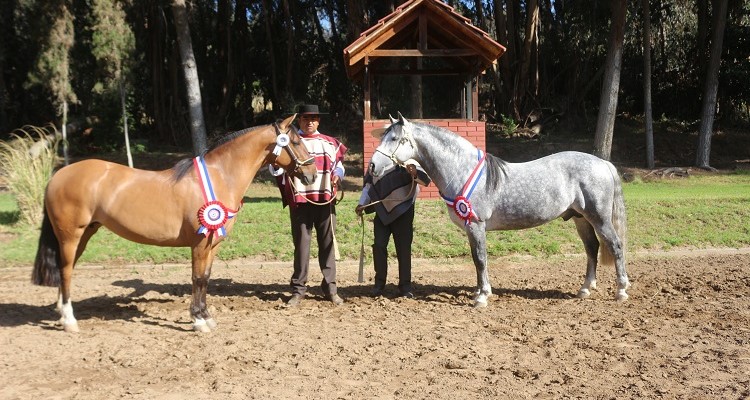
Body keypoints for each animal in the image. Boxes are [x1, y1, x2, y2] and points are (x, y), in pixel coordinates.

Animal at [31, 114, 314, 332]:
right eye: (296, 141)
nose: (311, 174)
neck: (220, 176)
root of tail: (58, 175)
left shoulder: (213, 245)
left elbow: (206, 277)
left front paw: (207, 317)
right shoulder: (200, 243)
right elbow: (197, 278)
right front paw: (198, 321)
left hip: (83, 234)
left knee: (65, 269)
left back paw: (62, 315)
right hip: (71, 235)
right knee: (66, 272)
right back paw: (70, 321)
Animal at [372, 114, 636, 308]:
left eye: (394, 138)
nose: (373, 166)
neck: (462, 169)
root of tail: (603, 163)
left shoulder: (476, 225)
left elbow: (480, 259)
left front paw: (481, 297)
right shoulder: (471, 229)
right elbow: (476, 259)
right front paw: (479, 291)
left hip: (599, 218)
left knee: (615, 245)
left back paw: (621, 290)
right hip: (580, 219)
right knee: (592, 249)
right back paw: (584, 289)